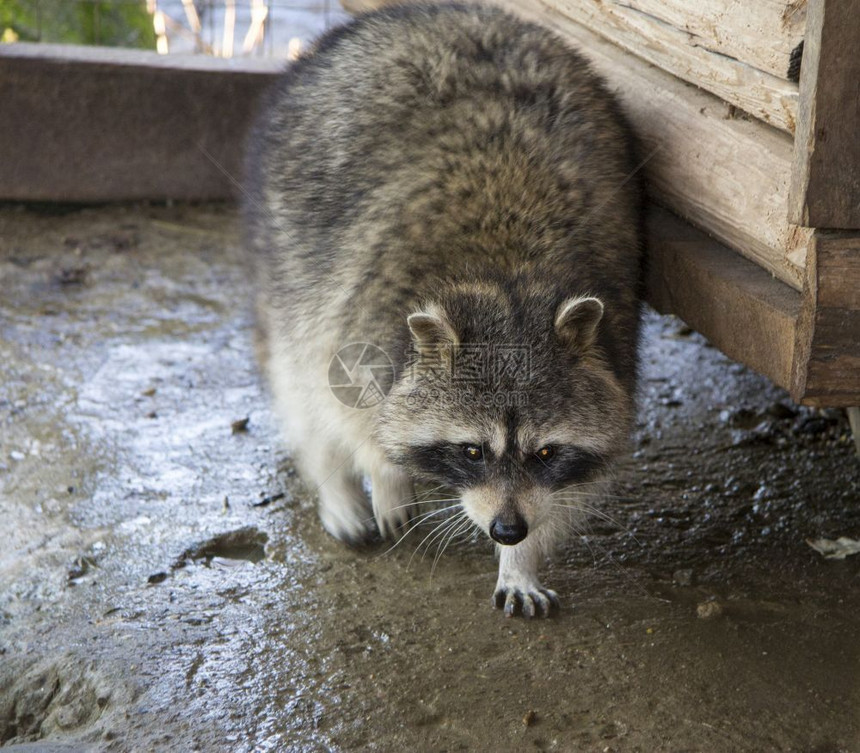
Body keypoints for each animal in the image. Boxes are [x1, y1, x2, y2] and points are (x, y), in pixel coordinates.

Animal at [245, 1, 640, 616]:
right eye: (473, 451)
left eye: (546, 452)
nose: (507, 530)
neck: (508, 278)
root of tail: (434, 12)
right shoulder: (359, 304)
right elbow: (349, 406)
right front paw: (381, 470)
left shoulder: (617, 335)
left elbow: (567, 489)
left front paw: (521, 560)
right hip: (285, 235)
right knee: (300, 379)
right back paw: (337, 485)